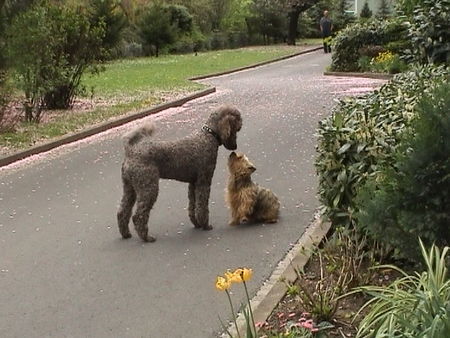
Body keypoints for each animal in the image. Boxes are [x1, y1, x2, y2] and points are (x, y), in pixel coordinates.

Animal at [116, 105, 243, 240]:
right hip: (148, 187)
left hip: (130, 188)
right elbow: (202, 206)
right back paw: (146, 238)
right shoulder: (203, 181)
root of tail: (131, 151)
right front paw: (205, 225)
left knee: (122, 211)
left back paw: (126, 234)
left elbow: (193, 206)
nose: (235, 146)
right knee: (138, 215)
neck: (208, 136)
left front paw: (197, 223)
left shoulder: (193, 183)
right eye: (237, 126)